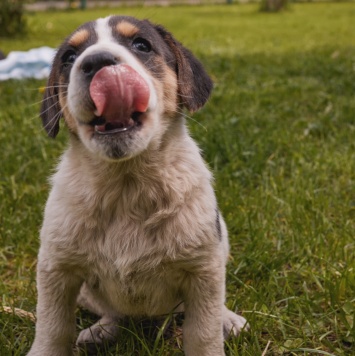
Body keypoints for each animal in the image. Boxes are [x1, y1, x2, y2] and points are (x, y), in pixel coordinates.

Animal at [27, 15, 248, 356]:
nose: (96, 62)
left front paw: (216, 329)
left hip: (220, 248)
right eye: (70, 57)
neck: (126, 187)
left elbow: (203, 332)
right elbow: (52, 328)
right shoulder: (56, 268)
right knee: (112, 312)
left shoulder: (203, 270)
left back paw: (229, 319)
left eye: (141, 45)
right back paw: (102, 330)